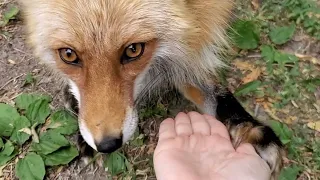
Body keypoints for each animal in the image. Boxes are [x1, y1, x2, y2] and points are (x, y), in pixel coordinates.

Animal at [19, 0, 282, 179]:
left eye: (134, 50)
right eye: (68, 55)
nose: (107, 145)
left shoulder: (188, 52)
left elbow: (218, 95)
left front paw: (249, 130)